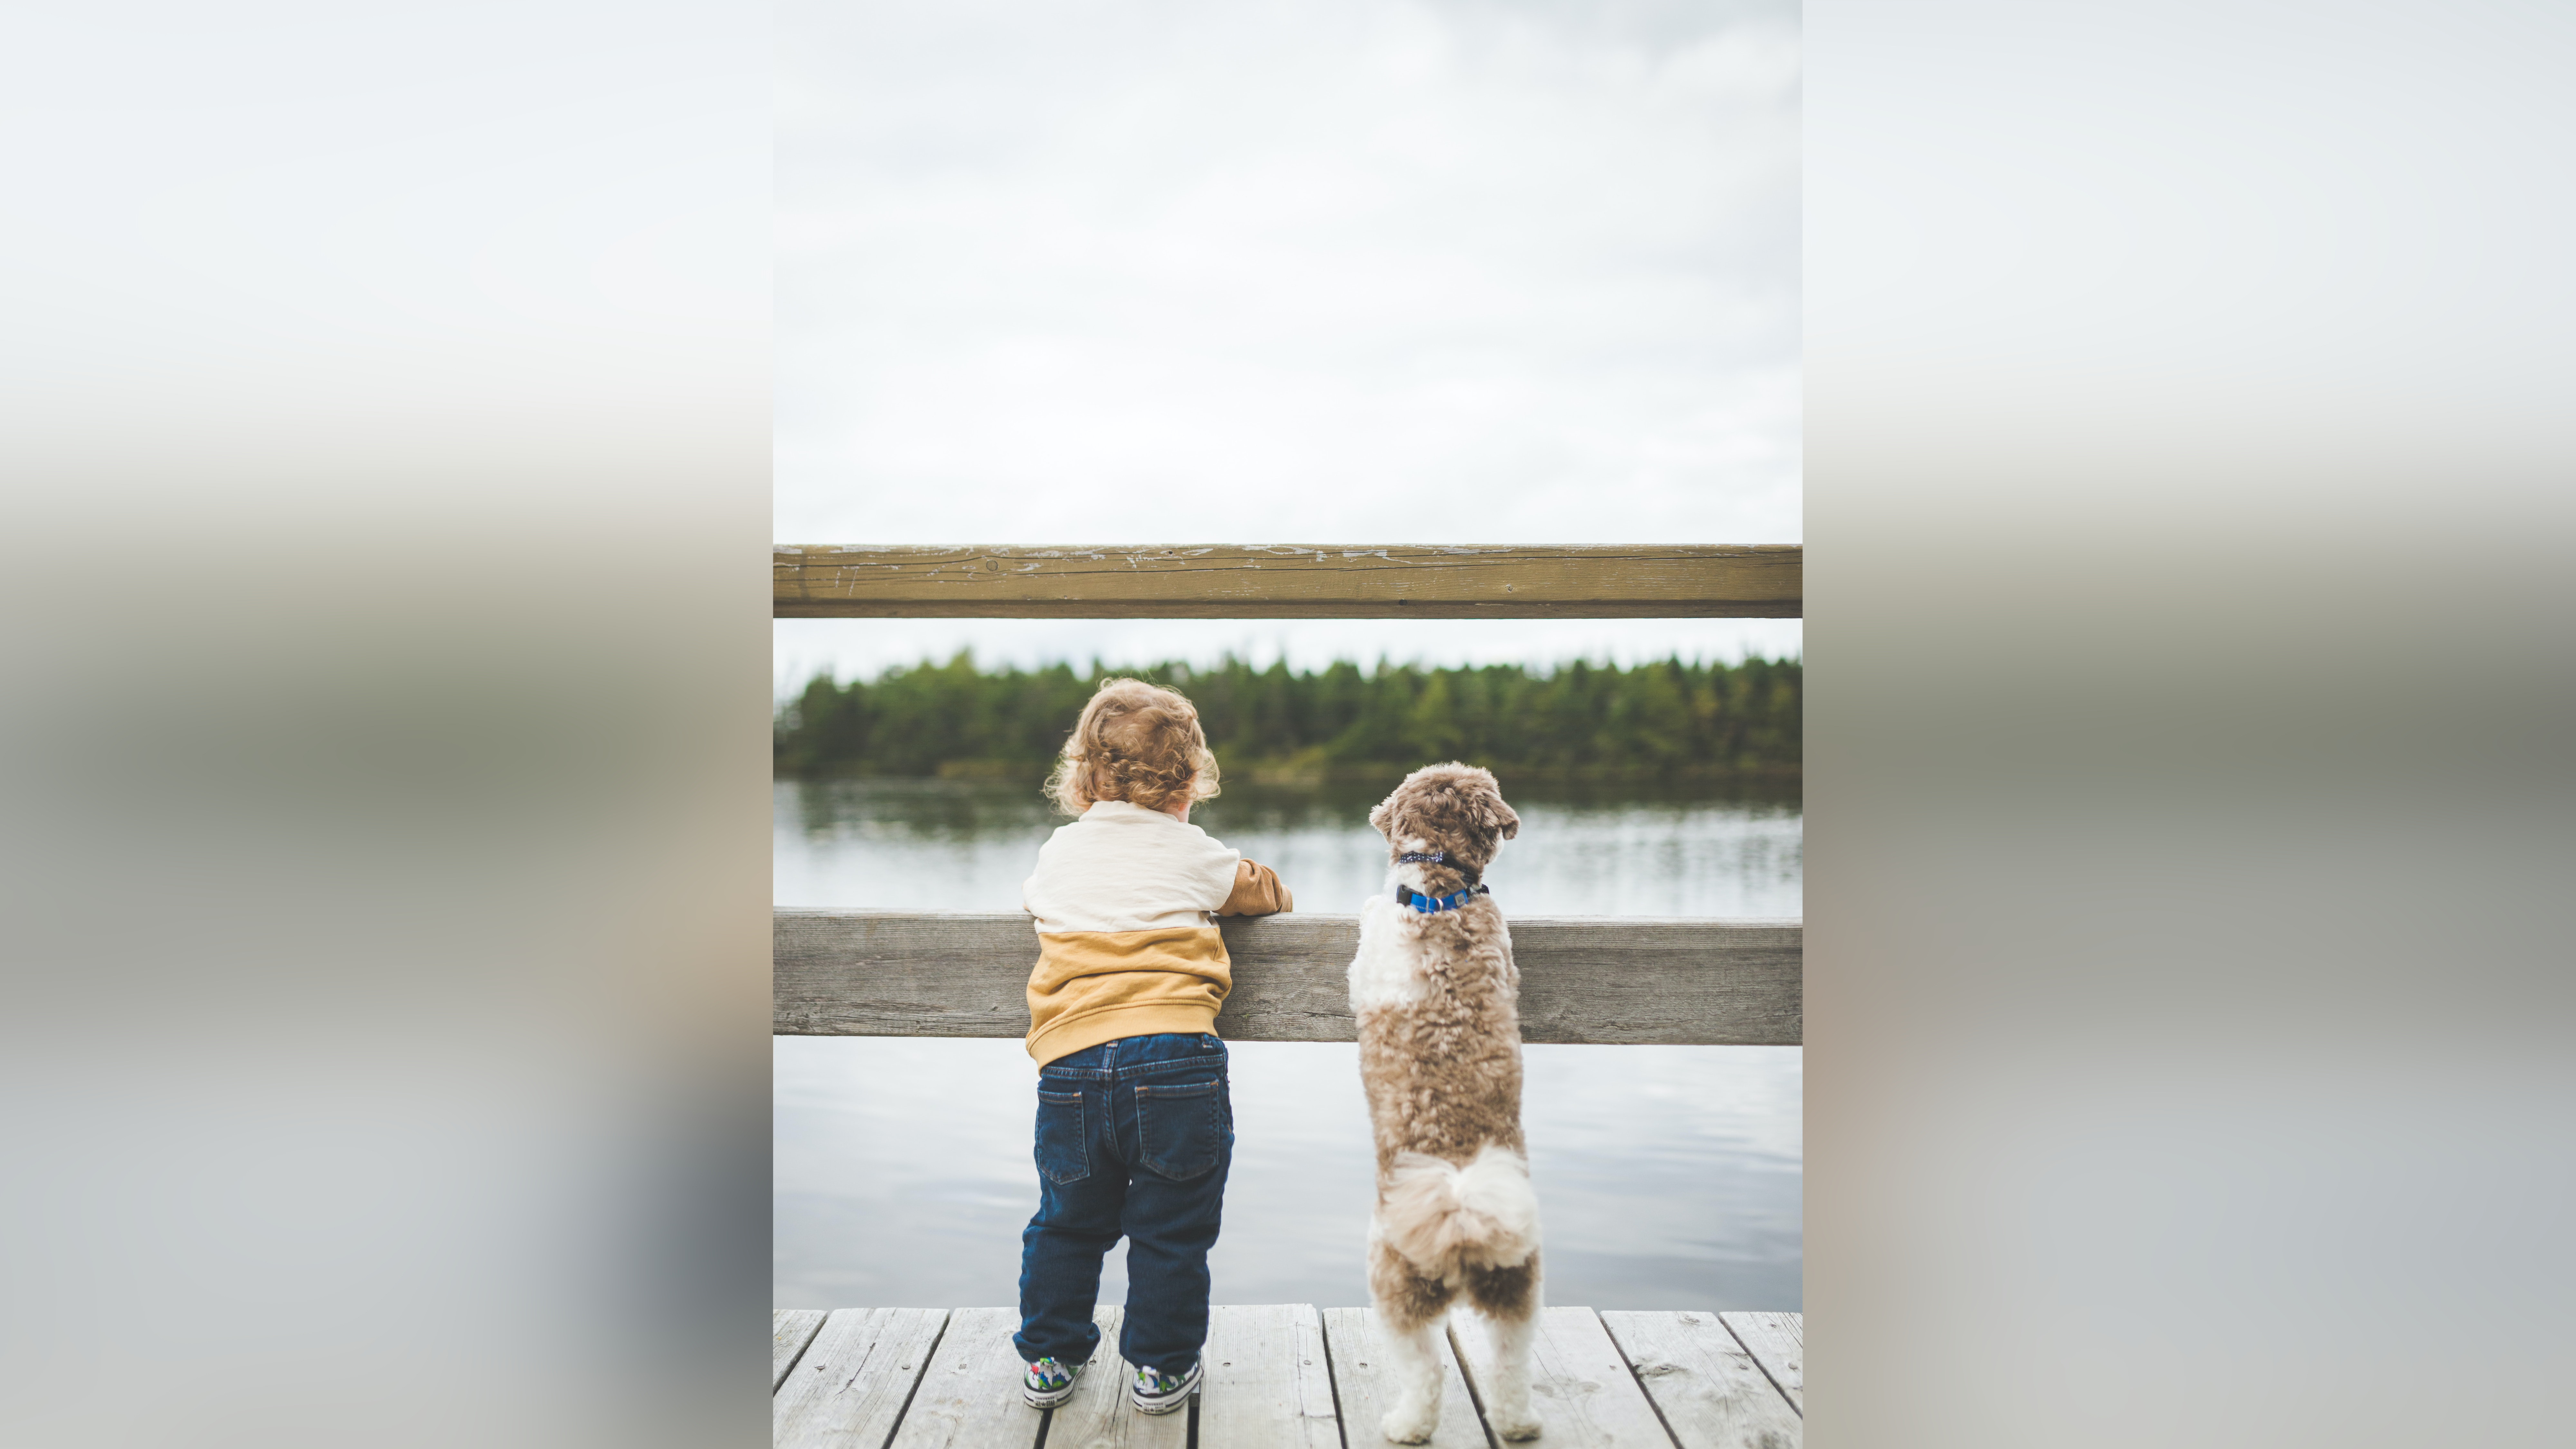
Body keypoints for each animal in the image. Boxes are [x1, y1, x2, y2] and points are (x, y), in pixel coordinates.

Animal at [1350, 763, 1546, 1433]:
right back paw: (1518, 1422)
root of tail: (1462, 1225)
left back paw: (1406, 1425)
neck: (1440, 892)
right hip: (1517, 1288)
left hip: (1394, 1287)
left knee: (1425, 1371)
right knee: (1511, 1364)